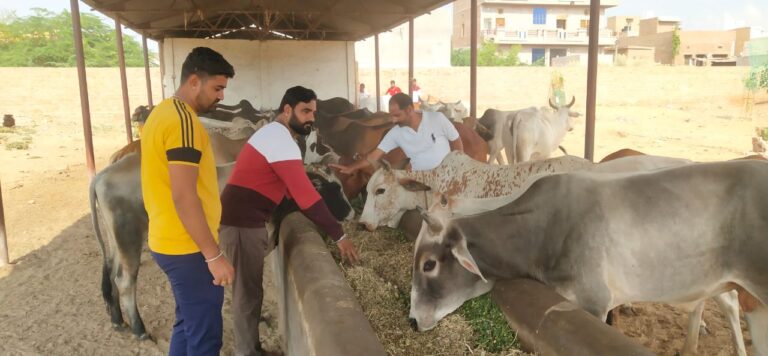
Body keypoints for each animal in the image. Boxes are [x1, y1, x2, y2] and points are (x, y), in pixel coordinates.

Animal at [91, 149, 354, 338]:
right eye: (331, 188)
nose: (351, 213)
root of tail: (103, 175)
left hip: (116, 241)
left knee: (111, 273)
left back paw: (117, 320)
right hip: (129, 236)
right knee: (125, 281)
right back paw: (139, 329)